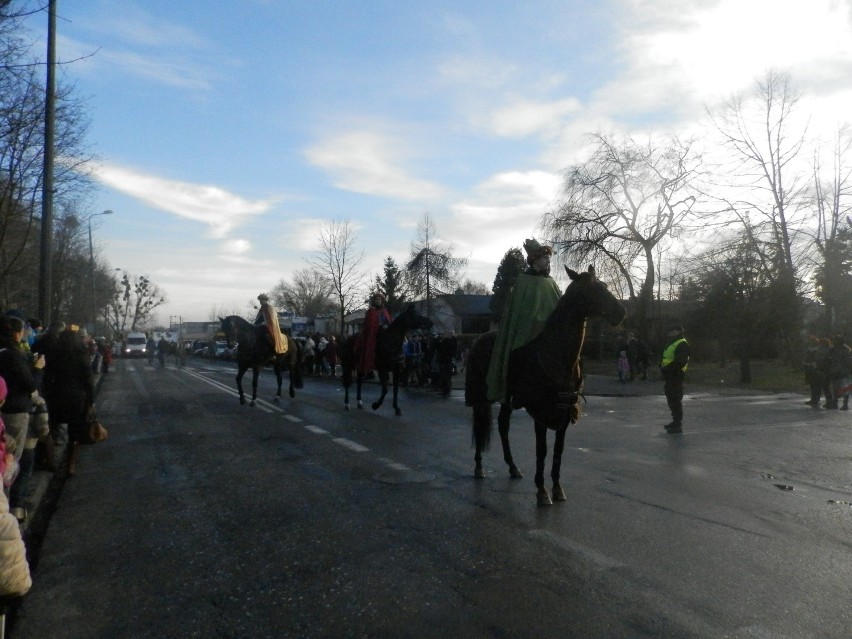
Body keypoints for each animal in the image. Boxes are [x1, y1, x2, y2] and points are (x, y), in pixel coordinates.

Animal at [466, 268, 624, 508]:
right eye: (591, 290)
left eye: (604, 286)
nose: (621, 312)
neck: (557, 355)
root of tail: (478, 341)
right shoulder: (540, 412)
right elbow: (542, 450)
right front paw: (541, 491)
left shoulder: (563, 412)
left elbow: (558, 451)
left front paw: (557, 488)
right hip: (480, 398)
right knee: (479, 426)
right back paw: (479, 466)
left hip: (506, 399)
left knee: (503, 426)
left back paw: (512, 467)